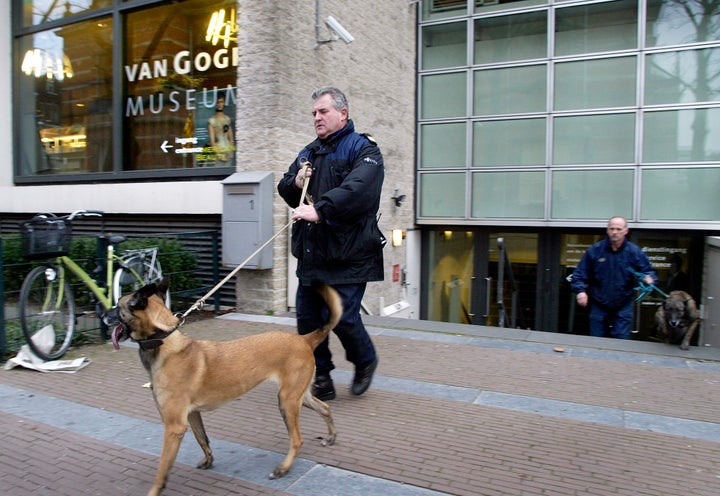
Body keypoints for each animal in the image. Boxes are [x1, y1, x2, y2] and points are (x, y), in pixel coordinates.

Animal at [102, 280, 344, 496]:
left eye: (117, 306)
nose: (102, 314)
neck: (164, 341)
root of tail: (304, 339)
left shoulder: (173, 427)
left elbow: (162, 468)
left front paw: (155, 490)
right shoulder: (192, 416)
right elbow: (203, 439)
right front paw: (208, 460)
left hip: (287, 401)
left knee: (297, 439)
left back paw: (283, 469)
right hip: (298, 396)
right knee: (325, 408)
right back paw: (331, 437)